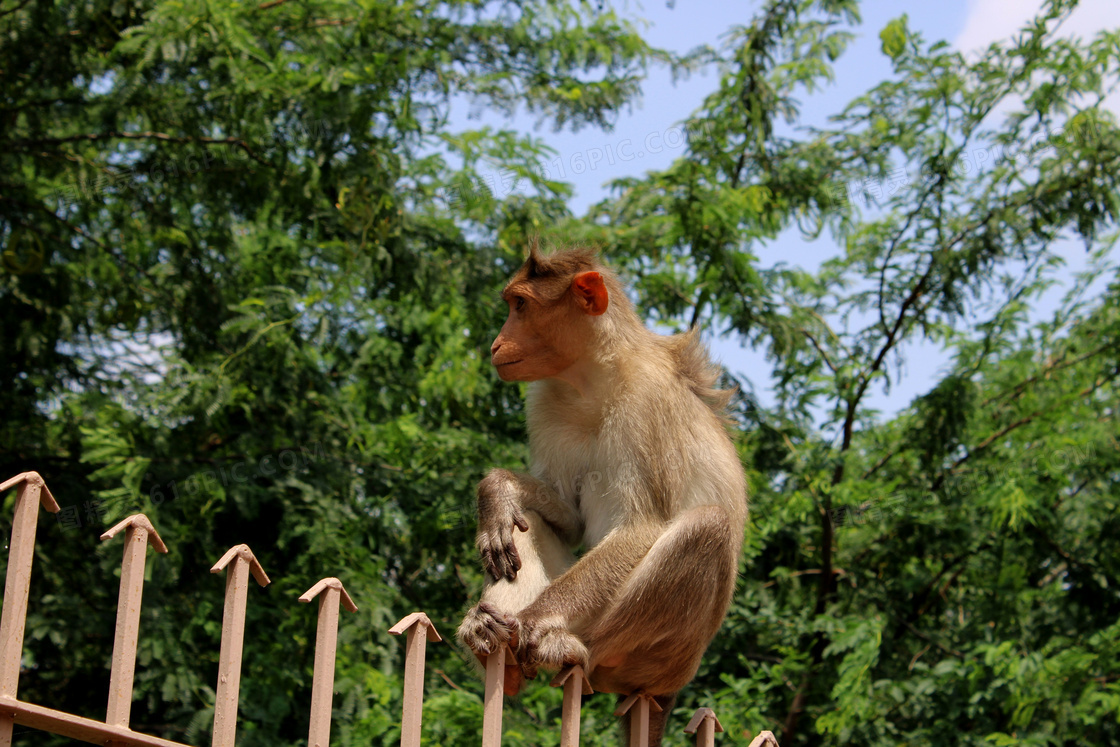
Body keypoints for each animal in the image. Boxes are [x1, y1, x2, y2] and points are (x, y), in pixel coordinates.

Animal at [454, 245, 743, 743]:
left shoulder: (647, 400)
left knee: (708, 527)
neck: (591, 378)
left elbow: (642, 527)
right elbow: (567, 519)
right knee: (526, 520)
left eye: (520, 305)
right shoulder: (544, 399)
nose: (495, 344)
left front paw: (533, 621)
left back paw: (565, 645)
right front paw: (495, 492)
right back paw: (490, 639)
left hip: (665, 659)